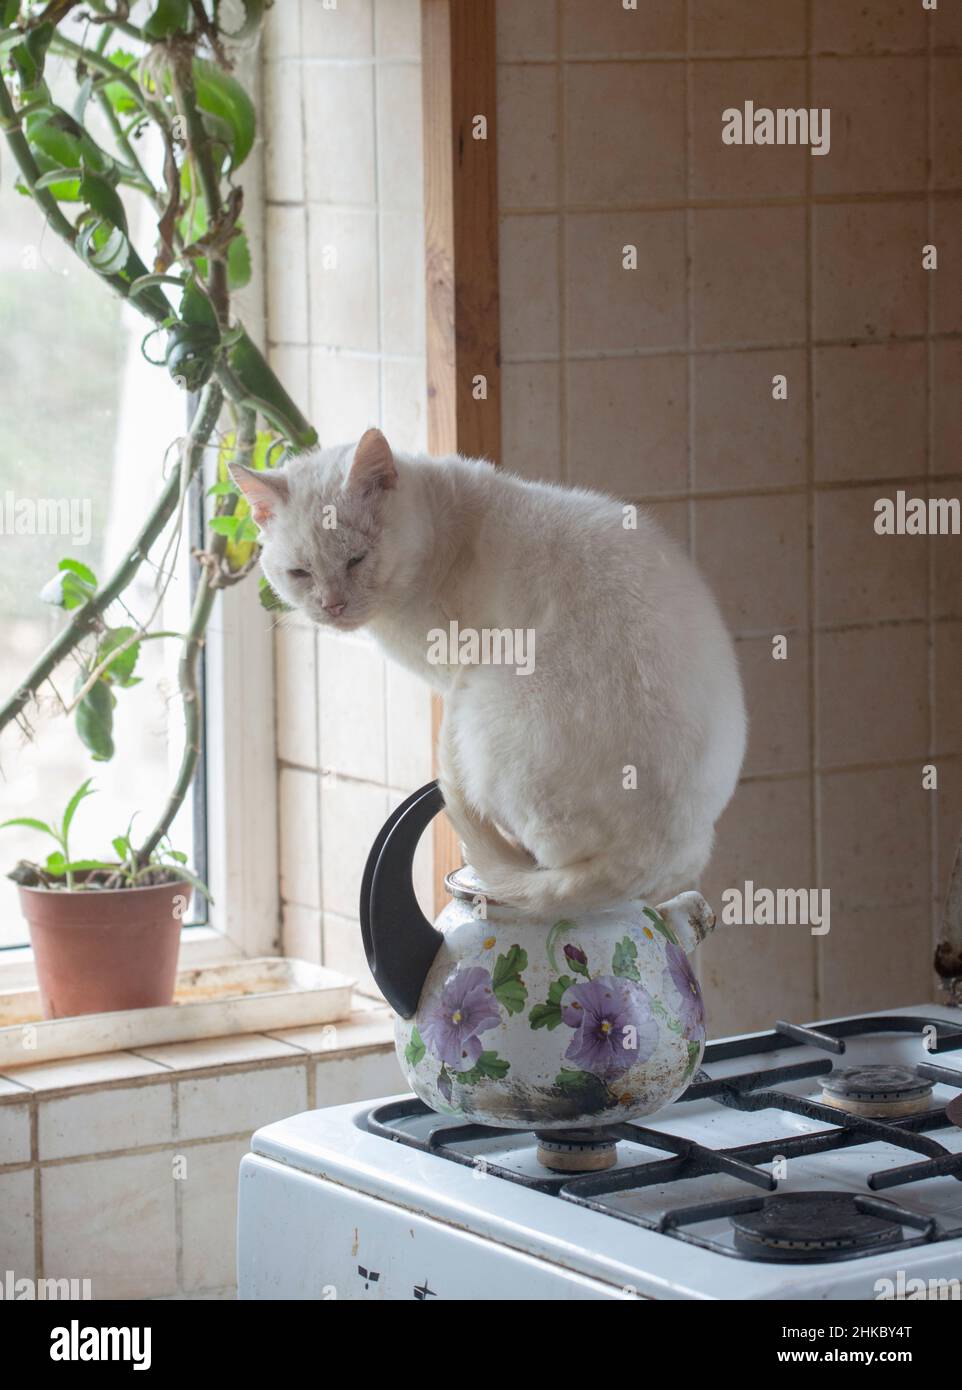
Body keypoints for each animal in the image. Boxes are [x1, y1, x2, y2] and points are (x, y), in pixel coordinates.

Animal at [230, 428, 745, 917]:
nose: (332, 605)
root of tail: (651, 851)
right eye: (300, 573)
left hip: (482, 709)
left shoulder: (452, 671)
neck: (441, 531)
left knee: (546, 855)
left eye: (356, 559)